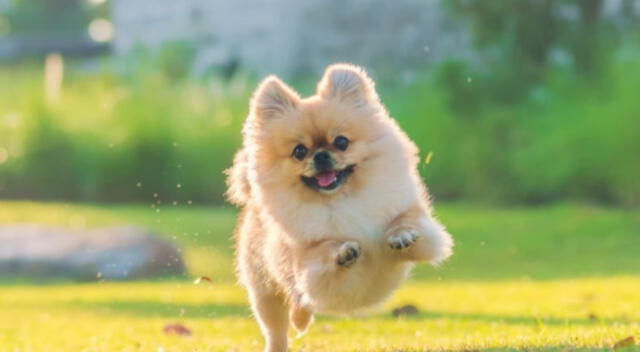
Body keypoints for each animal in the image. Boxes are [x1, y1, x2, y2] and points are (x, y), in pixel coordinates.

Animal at [228, 63, 452, 352]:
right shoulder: (309, 269)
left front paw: (401, 235)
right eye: (299, 151)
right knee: (279, 325)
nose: (321, 155)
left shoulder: (422, 231)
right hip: (264, 291)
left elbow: (406, 222)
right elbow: (323, 250)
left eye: (342, 142)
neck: (341, 199)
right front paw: (343, 251)